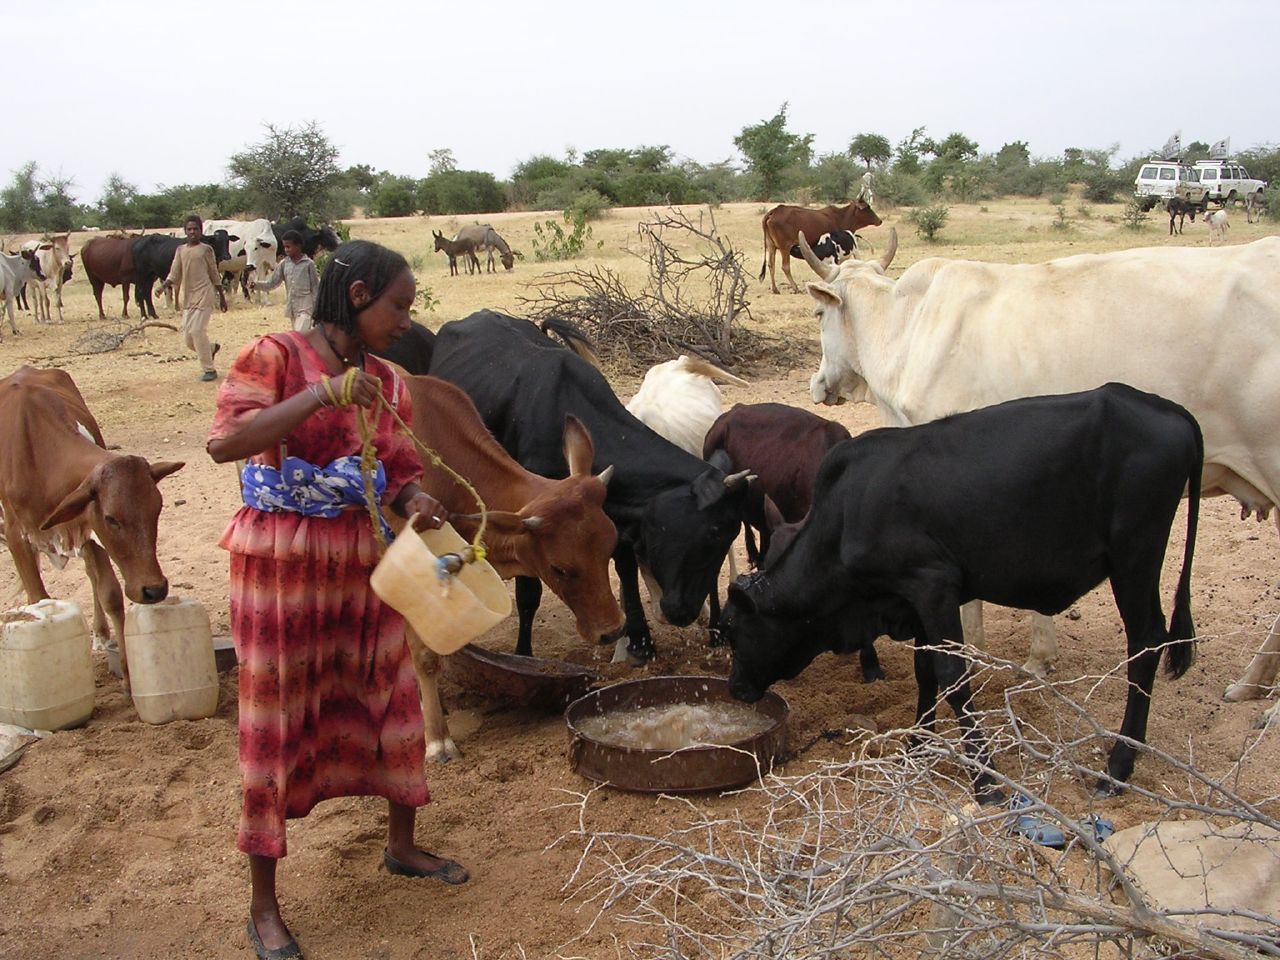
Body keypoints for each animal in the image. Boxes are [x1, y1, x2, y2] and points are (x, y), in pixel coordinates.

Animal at [0, 366, 185, 691]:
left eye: (158, 508)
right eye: (112, 518)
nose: (154, 589)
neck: (36, 450)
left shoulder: (89, 528)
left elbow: (109, 594)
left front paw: (128, 677)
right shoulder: (16, 536)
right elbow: (37, 597)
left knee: (91, 577)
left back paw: (100, 634)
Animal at [430, 312, 747, 665]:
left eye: (723, 534)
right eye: (712, 532)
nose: (681, 612)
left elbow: (623, 567)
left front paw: (641, 641)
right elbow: (530, 592)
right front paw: (525, 654)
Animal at [727, 378, 1203, 798]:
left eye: (735, 632)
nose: (734, 689)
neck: (845, 516)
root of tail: (1165, 408)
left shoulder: (933, 586)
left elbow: (953, 677)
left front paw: (985, 779)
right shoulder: (912, 602)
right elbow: (925, 672)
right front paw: (918, 747)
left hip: (1135, 556)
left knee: (1146, 644)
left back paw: (1119, 765)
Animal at [803, 229, 1280, 716]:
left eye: (818, 313)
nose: (817, 385)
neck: (908, 327)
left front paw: (979, 656)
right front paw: (1039, 658)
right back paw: (1251, 685)